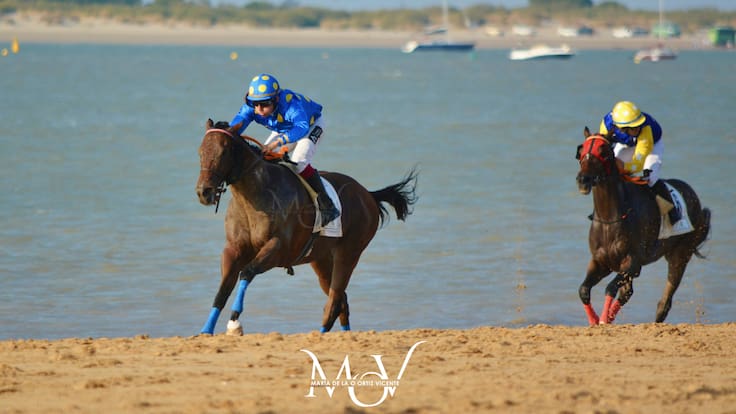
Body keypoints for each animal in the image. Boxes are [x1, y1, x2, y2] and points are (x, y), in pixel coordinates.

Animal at [195, 119, 418, 334]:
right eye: (200, 152)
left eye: (223, 152)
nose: (203, 192)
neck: (255, 195)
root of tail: (368, 194)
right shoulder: (233, 249)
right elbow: (223, 289)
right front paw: (206, 329)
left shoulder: (278, 248)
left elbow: (247, 272)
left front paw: (235, 321)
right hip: (321, 259)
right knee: (342, 301)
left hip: (349, 253)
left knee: (334, 302)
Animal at [575, 127, 711, 326]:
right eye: (581, 151)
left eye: (604, 153)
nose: (583, 180)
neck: (610, 218)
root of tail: (695, 198)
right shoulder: (601, 261)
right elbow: (584, 290)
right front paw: (595, 320)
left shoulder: (632, 263)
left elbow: (610, 288)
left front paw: (603, 320)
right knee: (627, 293)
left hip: (680, 255)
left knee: (664, 302)